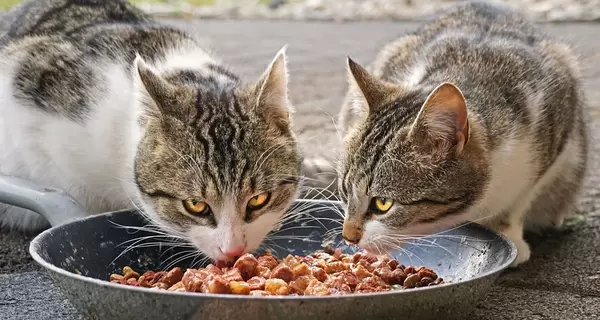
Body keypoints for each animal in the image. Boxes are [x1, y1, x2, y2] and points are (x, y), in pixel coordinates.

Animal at [316, 1, 588, 268]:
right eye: (344, 190)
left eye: (383, 203)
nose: (348, 236)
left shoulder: (556, 125)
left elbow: (520, 199)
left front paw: (508, 232)